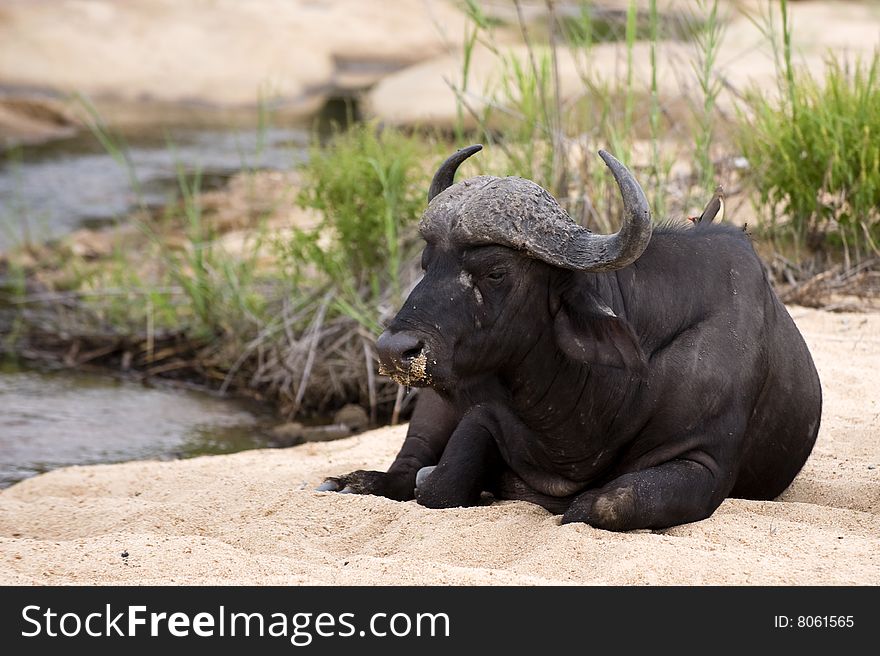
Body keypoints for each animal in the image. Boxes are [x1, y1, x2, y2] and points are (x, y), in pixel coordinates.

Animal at [320, 146, 820, 532]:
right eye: (427, 264)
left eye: (495, 271)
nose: (393, 351)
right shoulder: (481, 415)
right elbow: (438, 484)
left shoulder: (705, 462)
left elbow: (605, 502)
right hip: (432, 403)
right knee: (407, 464)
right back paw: (353, 481)